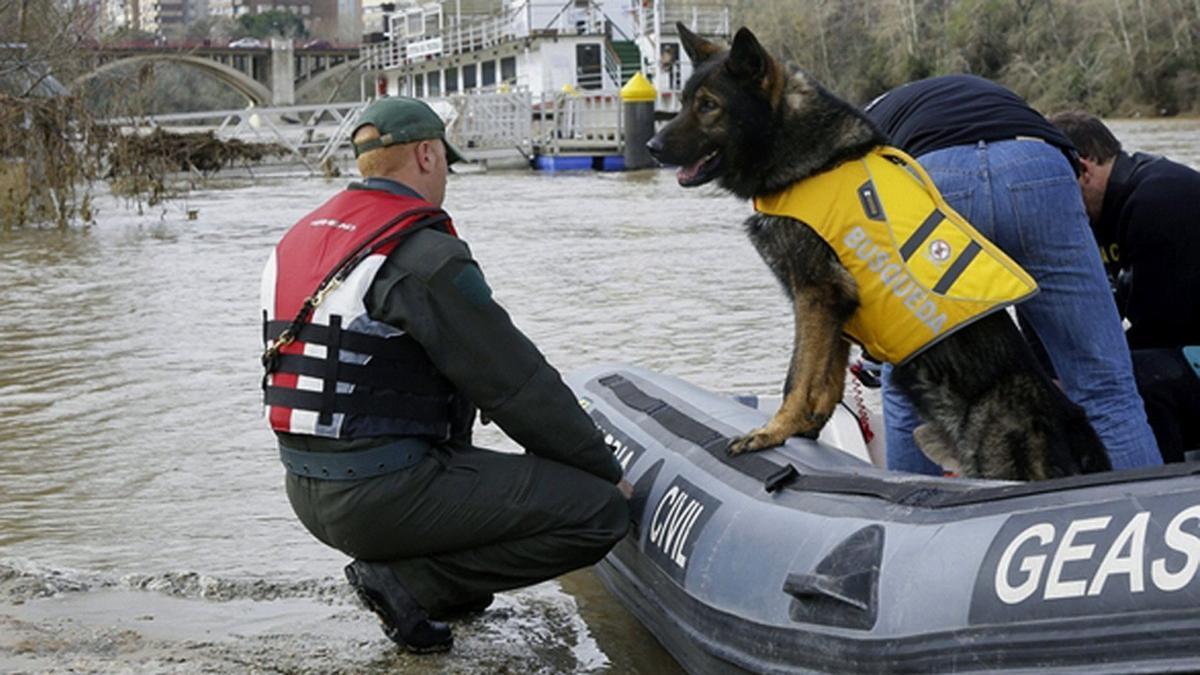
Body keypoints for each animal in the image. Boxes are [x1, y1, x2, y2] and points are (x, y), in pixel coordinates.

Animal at [648, 24, 1113, 478]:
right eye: (684, 102)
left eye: (709, 106)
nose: (652, 147)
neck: (811, 161)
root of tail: (1071, 426)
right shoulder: (834, 307)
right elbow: (826, 380)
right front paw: (807, 429)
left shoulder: (815, 294)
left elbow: (797, 376)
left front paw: (772, 432)